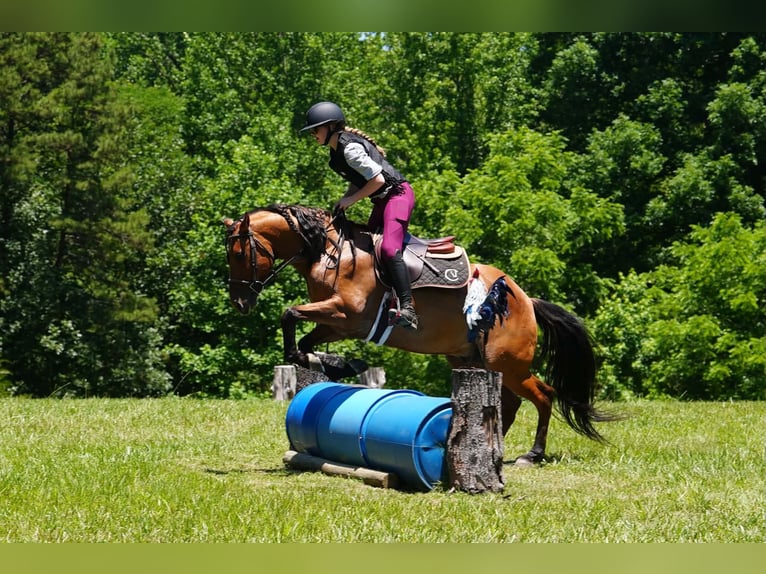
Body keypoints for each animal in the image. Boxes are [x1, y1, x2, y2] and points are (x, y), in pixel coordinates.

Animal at [223, 203, 616, 465]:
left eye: (239, 253)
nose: (240, 302)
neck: (329, 252)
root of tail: (526, 299)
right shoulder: (335, 322)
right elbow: (300, 340)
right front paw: (338, 364)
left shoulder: (346, 314)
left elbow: (288, 314)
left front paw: (338, 363)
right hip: (474, 359)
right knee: (511, 402)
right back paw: (488, 447)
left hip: (508, 363)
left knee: (544, 396)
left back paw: (531, 454)